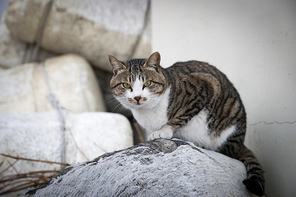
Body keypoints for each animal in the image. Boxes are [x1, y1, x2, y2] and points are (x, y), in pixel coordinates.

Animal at [108, 50, 264, 195]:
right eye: (126, 85)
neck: (148, 110)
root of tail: (241, 143)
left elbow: (180, 117)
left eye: (147, 83)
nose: (137, 97)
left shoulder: (203, 88)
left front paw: (163, 131)